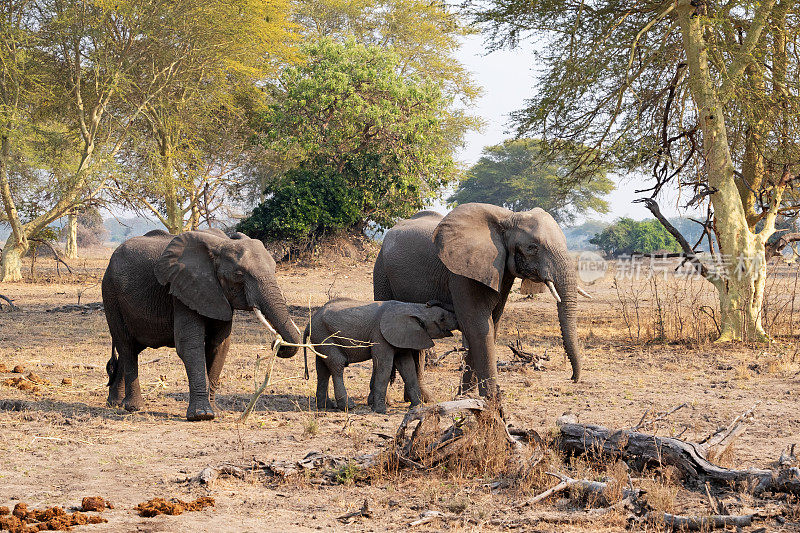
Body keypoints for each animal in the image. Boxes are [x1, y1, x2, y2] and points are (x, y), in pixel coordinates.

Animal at [100, 229, 300, 420]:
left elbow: (219, 346)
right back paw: (133, 407)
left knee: (132, 348)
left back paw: (115, 403)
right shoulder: (183, 290)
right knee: (126, 345)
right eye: (238, 275)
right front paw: (202, 415)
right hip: (110, 294)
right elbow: (190, 345)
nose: (275, 344)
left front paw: (216, 413)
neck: (221, 245)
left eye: (274, 270)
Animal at [304, 298, 460, 414]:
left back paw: (325, 406)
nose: (429, 302)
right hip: (324, 335)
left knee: (322, 368)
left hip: (320, 337)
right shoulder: (380, 335)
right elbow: (384, 365)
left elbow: (407, 366)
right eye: (442, 318)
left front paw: (417, 407)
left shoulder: (402, 336)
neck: (413, 307)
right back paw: (348, 406)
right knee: (337, 364)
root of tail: (309, 323)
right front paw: (380, 411)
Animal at [372, 204, 584, 400]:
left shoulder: (499, 271)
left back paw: (422, 399)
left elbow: (492, 325)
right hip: (381, 270)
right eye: (532, 247)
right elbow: (479, 326)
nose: (573, 378)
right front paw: (490, 399)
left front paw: (466, 397)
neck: (507, 218)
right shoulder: (462, 272)